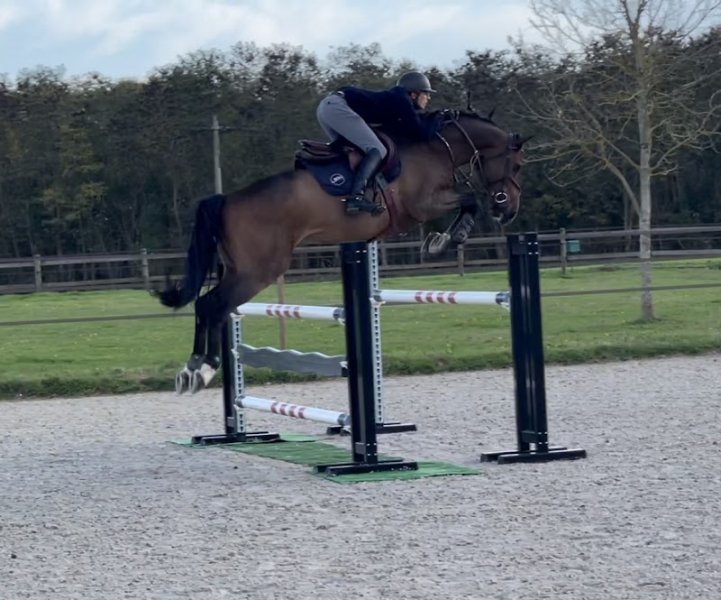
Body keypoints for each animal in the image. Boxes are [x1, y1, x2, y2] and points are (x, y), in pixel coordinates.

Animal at [157, 110, 529, 393]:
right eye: (517, 165)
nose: (509, 210)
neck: (436, 147)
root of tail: (225, 200)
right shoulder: (423, 205)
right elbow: (470, 200)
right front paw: (447, 238)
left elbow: (467, 202)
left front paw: (441, 239)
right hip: (257, 272)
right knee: (214, 305)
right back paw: (204, 367)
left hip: (238, 270)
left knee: (206, 305)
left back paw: (191, 370)